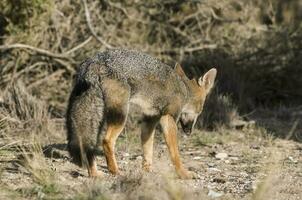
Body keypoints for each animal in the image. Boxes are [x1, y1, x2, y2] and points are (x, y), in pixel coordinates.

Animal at [66, 48, 217, 180]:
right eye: (201, 110)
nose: (189, 131)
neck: (184, 89)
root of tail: (93, 62)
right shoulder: (168, 118)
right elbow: (175, 153)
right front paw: (183, 173)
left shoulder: (149, 120)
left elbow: (147, 149)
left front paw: (147, 170)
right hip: (121, 116)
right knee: (107, 141)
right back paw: (115, 171)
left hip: (97, 118)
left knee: (89, 147)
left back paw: (94, 173)